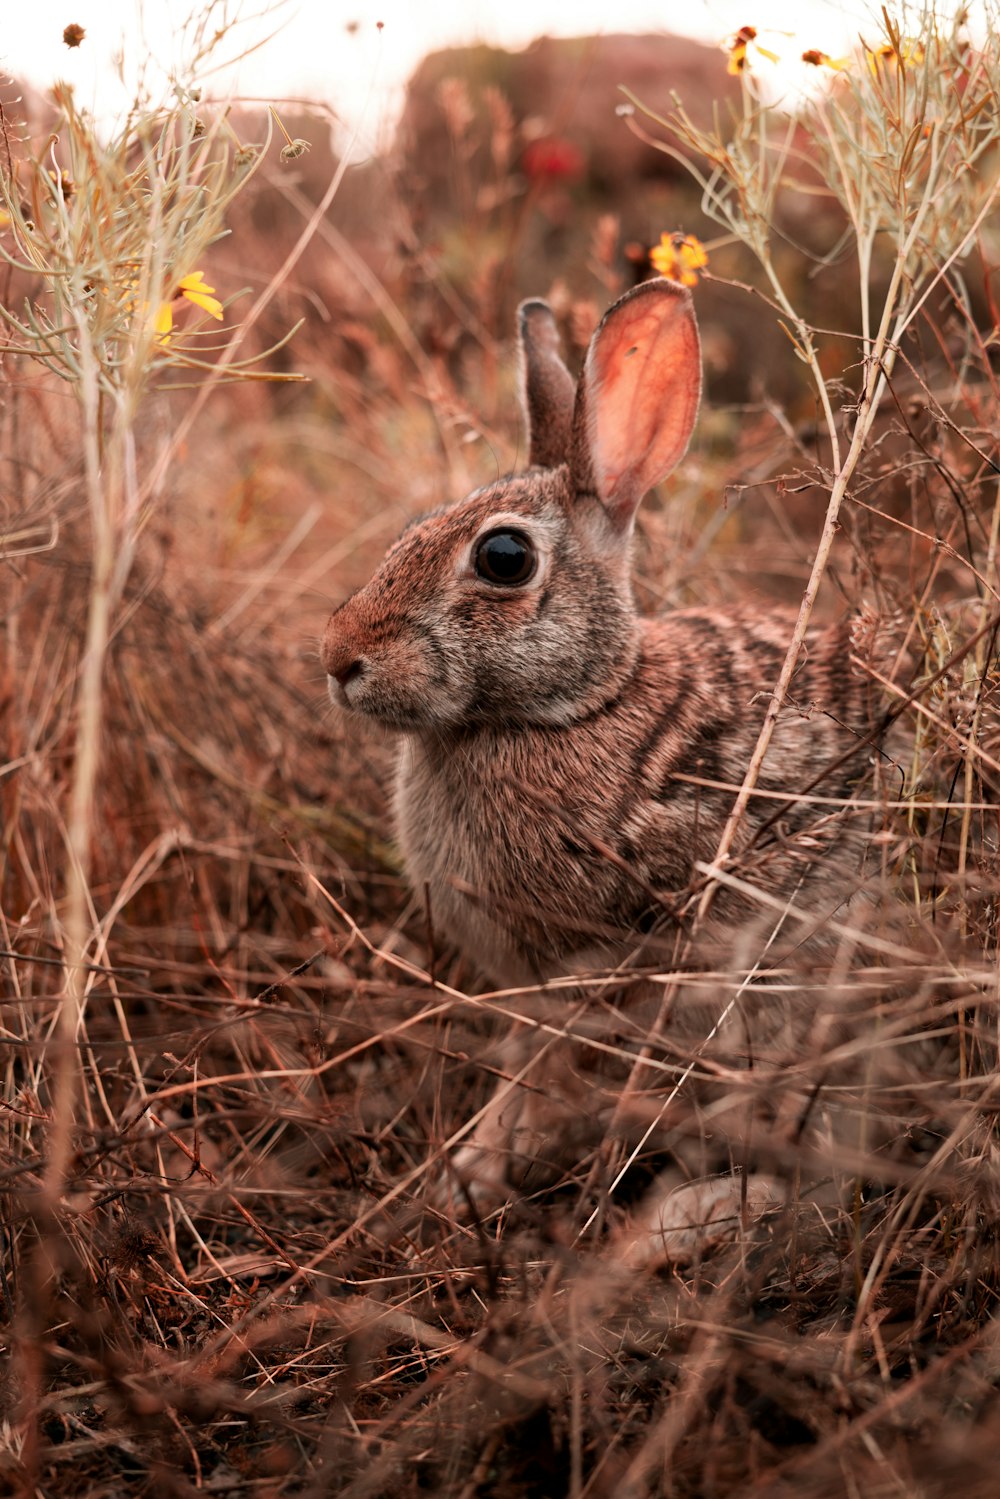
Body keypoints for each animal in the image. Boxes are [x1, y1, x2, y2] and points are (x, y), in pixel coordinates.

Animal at [325, 281, 893, 1265]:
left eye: (503, 558)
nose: (337, 658)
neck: (574, 706)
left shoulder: (587, 972)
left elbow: (543, 1073)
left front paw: (481, 1173)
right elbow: (518, 1067)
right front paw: (467, 1169)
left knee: (823, 1182)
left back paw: (665, 1230)